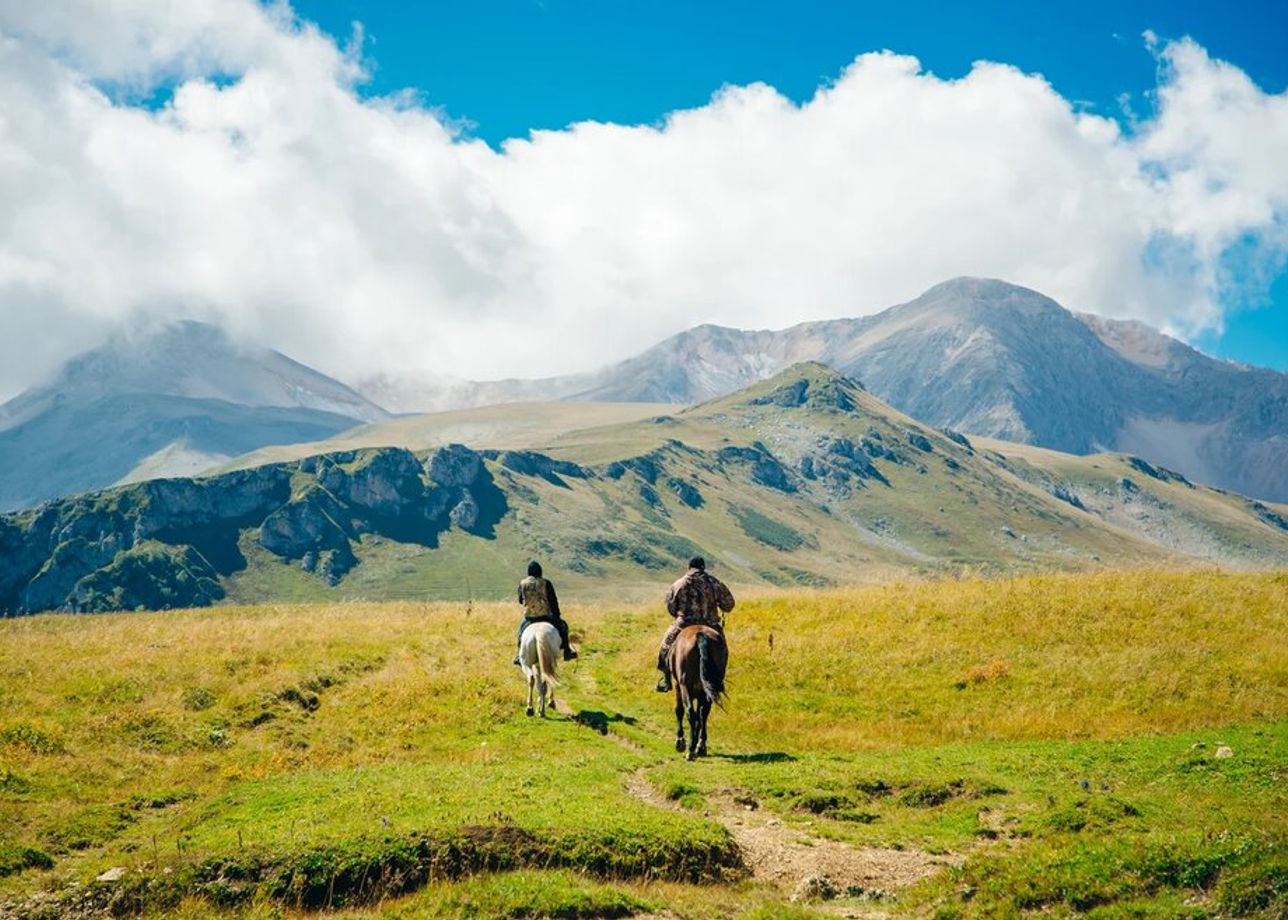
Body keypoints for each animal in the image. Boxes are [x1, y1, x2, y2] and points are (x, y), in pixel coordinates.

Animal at [669, 623, 731, 757]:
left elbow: (679, 710)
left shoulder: (678, 686)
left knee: (690, 713)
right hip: (708, 689)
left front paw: (680, 741)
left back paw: (691, 750)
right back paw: (700, 746)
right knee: (704, 714)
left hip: (684, 686)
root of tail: (700, 636)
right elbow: (701, 714)